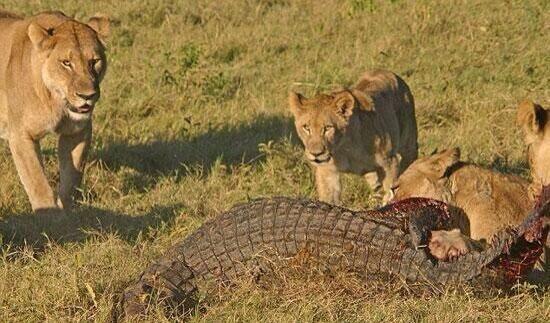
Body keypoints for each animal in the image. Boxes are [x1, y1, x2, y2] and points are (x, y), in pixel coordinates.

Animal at [0, 10, 110, 213]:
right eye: (66, 63)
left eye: (94, 61)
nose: (87, 96)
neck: (56, 101)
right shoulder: (21, 135)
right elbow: (38, 184)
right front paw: (49, 217)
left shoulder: (78, 131)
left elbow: (71, 178)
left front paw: (66, 213)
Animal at [288, 69, 418, 204]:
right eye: (306, 127)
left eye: (328, 128)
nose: (316, 154)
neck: (344, 148)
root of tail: (388, 72)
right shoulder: (327, 171)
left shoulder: (389, 163)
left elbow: (390, 191)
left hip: (409, 145)